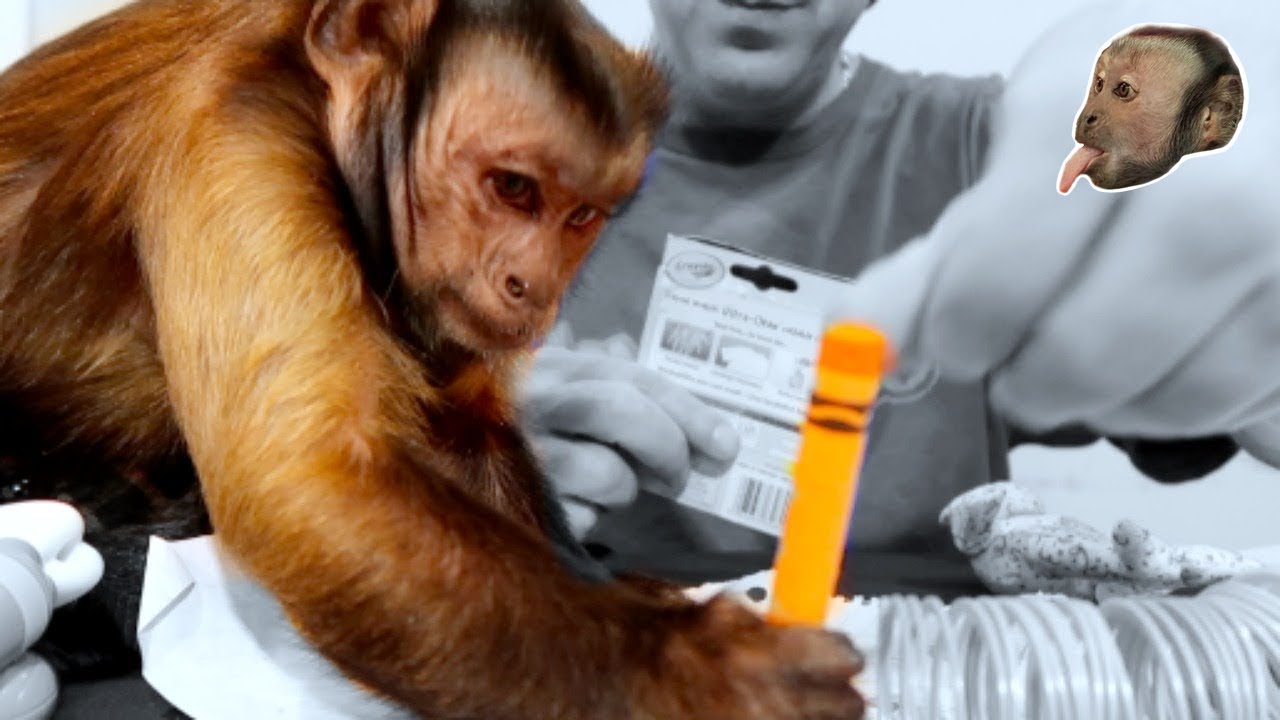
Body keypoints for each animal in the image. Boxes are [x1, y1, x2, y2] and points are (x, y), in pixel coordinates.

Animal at [0, 1, 868, 718]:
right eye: (513, 188)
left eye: (580, 216)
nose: (535, 288)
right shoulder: (238, 131)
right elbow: (312, 486)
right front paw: (698, 674)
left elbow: (461, 428)